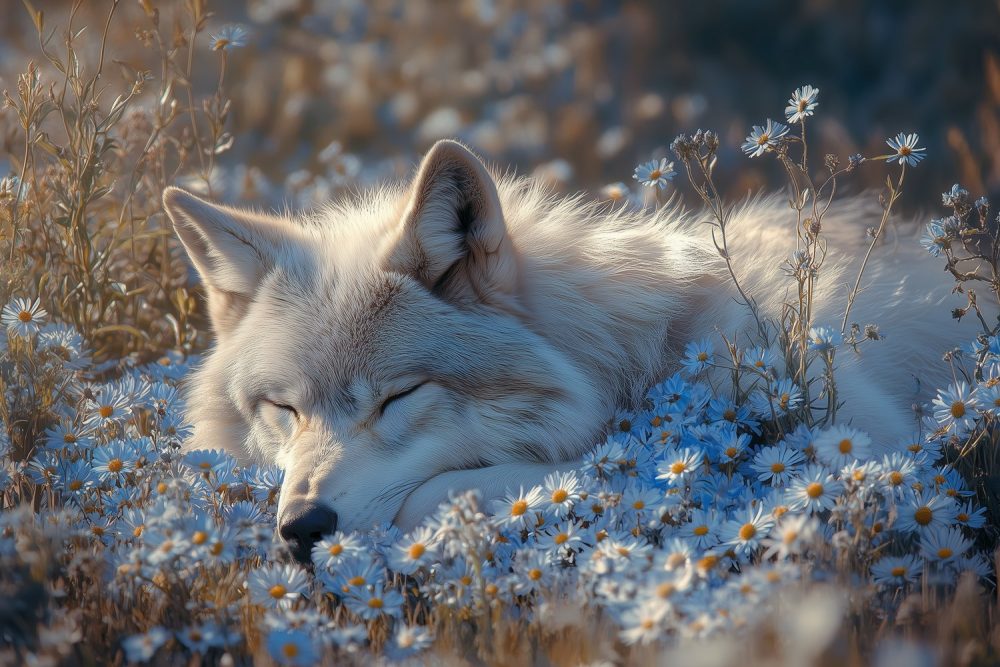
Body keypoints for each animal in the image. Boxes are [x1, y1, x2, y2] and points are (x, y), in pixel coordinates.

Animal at [163, 140, 981, 562]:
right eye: (283, 408)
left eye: (400, 397)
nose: (301, 530)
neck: (634, 357)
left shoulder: (870, 444)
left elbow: (439, 494)